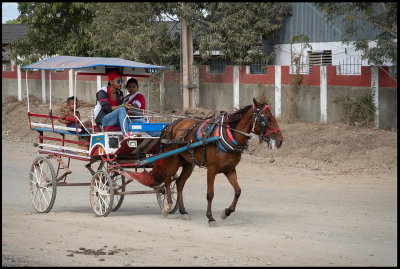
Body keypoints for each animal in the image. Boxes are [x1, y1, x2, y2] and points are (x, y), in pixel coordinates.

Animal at [155, 97, 282, 225]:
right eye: (268, 118)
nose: (280, 140)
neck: (225, 136)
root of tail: (171, 125)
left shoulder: (230, 169)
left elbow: (238, 191)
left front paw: (227, 212)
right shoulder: (211, 169)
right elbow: (210, 194)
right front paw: (210, 217)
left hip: (188, 164)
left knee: (179, 183)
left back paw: (183, 211)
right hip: (172, 159)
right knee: (167, 180)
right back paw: (168, 206)